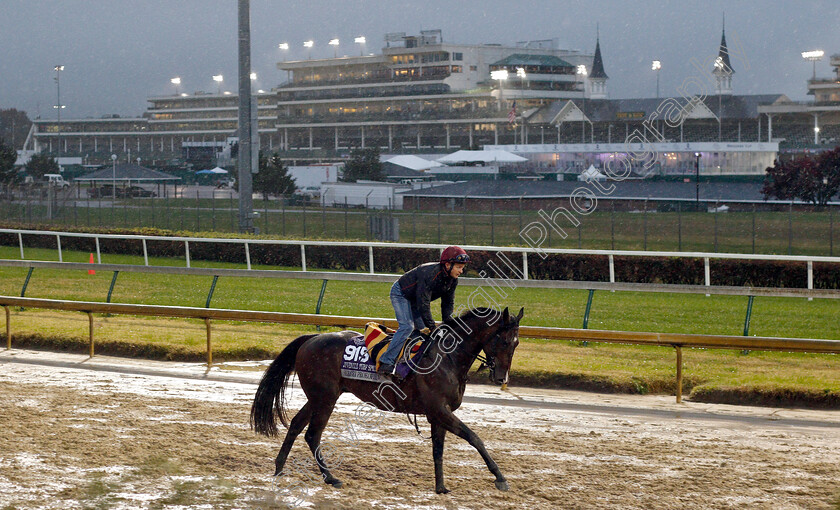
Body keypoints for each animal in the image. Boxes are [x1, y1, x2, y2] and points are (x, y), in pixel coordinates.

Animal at [251, 304, 524, 492]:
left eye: (517, 343)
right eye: (503, 340)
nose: (501, 377)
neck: (448, 357)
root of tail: (311, 338)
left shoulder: (438, 414)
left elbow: (438, 449)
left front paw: (440, 487)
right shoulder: (439, 410)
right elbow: (474, 438)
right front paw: (500, 478)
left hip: (320, 396)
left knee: (297, 425)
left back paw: (279, 468)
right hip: (325, 398)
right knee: (312, 434)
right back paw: (331, 477)